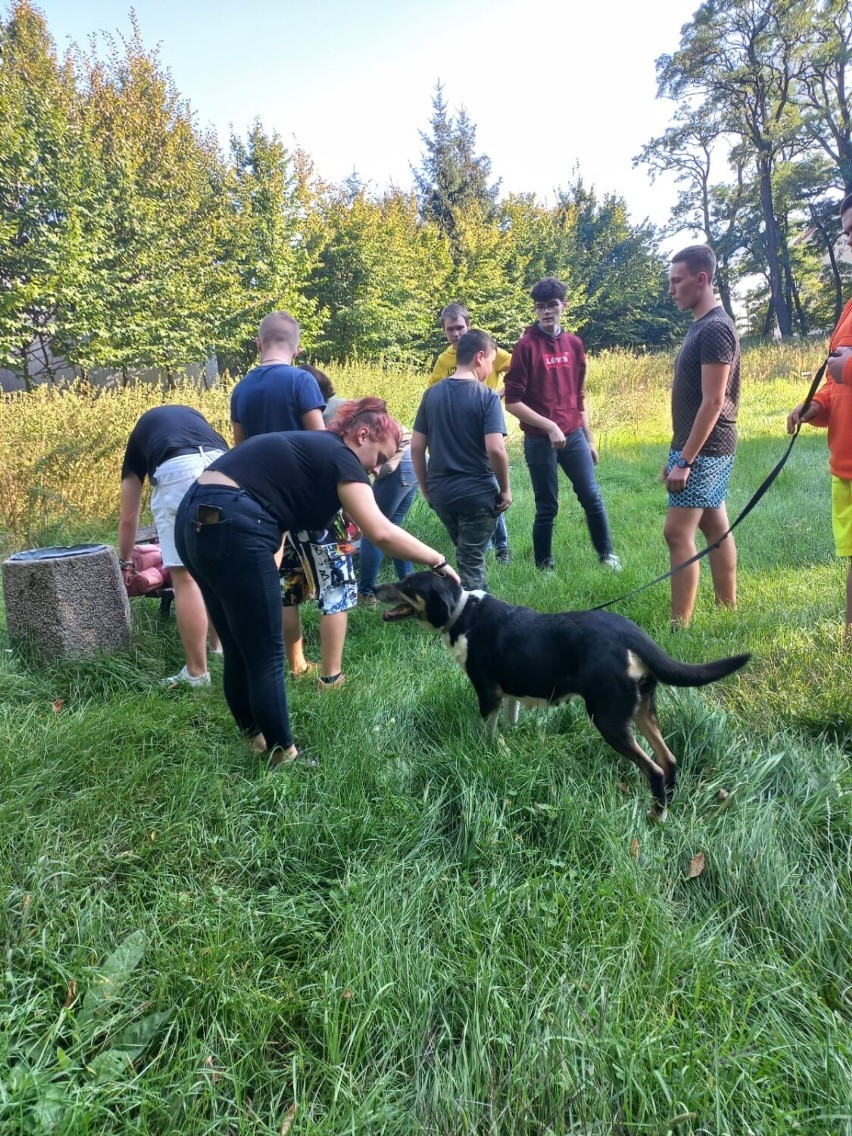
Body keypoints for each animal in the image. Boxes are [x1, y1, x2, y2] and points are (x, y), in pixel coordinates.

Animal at [377, 572, 749, 822]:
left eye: (408, 586)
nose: (374, 589)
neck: (463, 612)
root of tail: (633, 635)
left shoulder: (487, 693)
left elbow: (489, 733)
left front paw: (488, 752)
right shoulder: (509, 693)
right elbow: (510, 724)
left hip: (607, 718)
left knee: (654, 769)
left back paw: (654, 817)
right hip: (642, 710)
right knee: (668, 760)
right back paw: (666, 809)